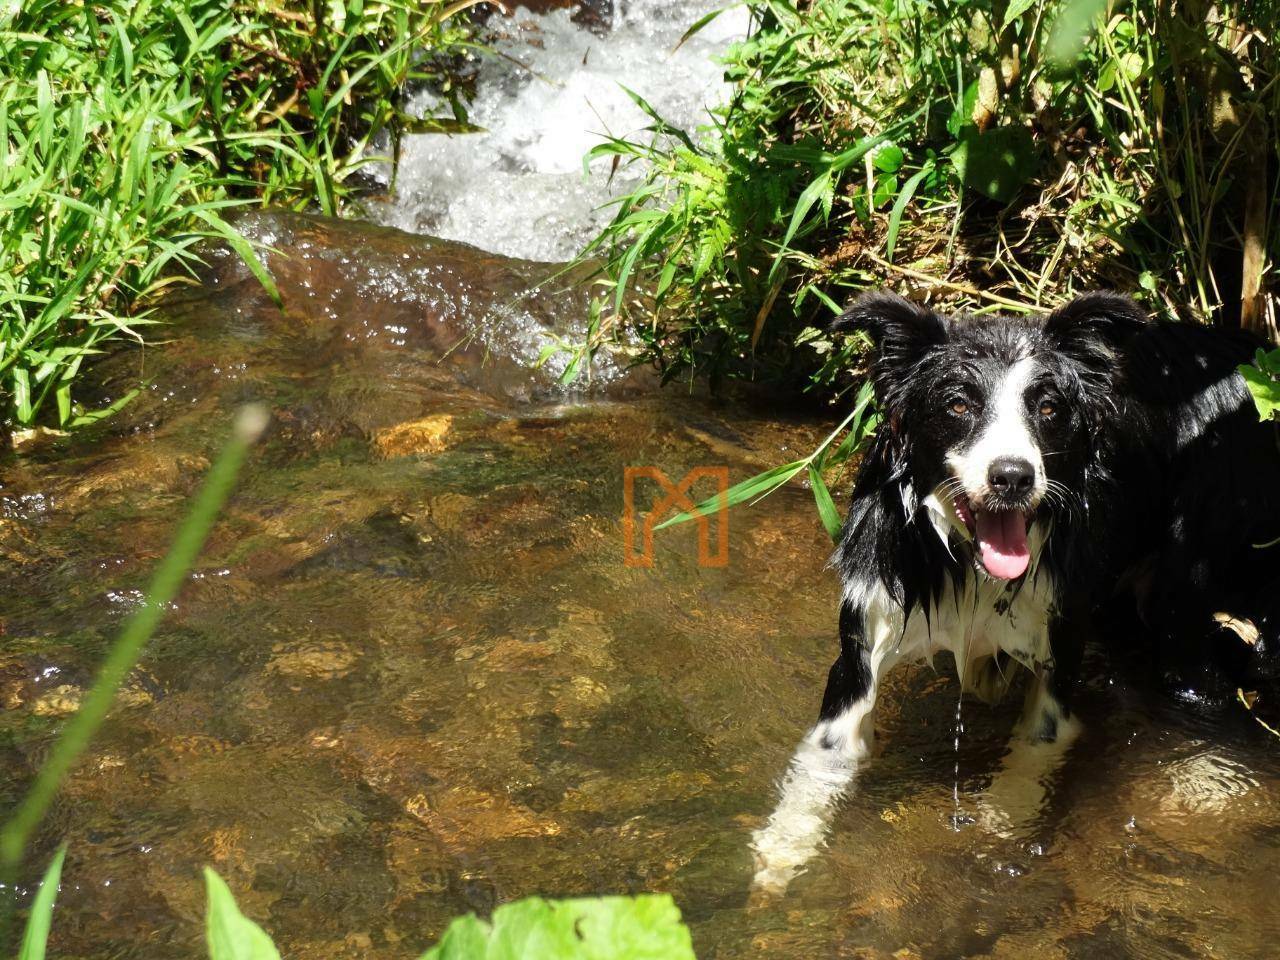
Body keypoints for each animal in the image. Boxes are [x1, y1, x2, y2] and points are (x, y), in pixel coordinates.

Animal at [747, 289, 1280, 890]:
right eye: (958, 405)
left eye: (1049, 409)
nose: (1013, 476)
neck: (967, 563)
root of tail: (1247, 348)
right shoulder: (866, 629)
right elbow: (825, 756)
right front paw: (783, 849)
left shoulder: (1060, 634)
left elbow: (1034, 750)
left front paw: (997, 832)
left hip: (1189, 569)